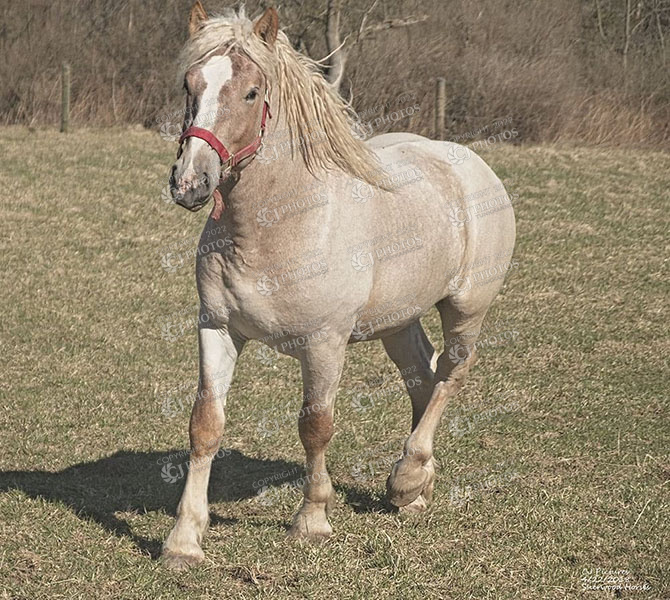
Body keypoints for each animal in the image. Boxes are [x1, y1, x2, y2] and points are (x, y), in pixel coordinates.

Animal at [161, 2, 516, 570]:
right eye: (190, 85)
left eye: (251, 93)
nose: (191, 182)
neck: (277, 226)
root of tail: (469, 164)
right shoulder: (216, 329)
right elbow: (205, 425)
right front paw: (184, 540)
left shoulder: (324, 345)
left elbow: (315, 427)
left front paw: (312, 521)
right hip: (398, 321)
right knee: (423, 376)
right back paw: (416, 488)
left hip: (466, 308)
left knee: (451, 373)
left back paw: (407, 476)